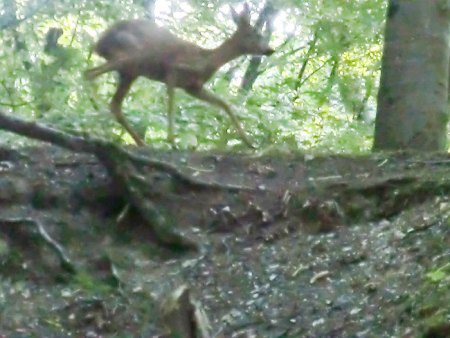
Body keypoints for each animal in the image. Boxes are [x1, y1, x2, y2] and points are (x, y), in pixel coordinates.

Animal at [84, 2, 274, 148]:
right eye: (255, 34)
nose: (270, 49)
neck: (206, 60)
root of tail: (99, 43)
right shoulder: (173, 70)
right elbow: (171, 105)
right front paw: (172, 140)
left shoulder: (193, 87)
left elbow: (224, 104)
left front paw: (249, 142)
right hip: (130, 57)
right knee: (90, 74)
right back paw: (95, 116)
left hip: (130, 72)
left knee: (114, 103)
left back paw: (139, 142)